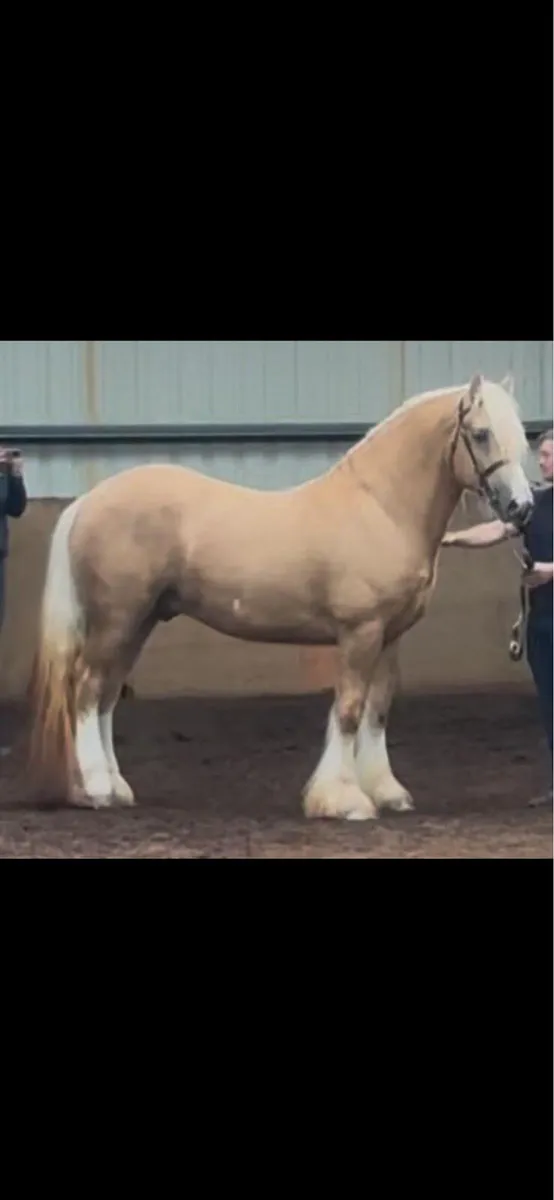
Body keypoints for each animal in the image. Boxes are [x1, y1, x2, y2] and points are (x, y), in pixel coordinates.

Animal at [27, 372, 533, 819]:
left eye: (520, 437)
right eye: (481, 434)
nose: (521, 508)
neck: (381, 508)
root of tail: (87, 500)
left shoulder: (390, 637)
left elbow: (377, 712)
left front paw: (387, 792)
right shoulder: (360, 633)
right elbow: (348, 710)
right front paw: (343, 800)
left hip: (140, 621)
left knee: (107, 694)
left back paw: (116, 788)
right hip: (117, 620)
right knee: (88, 688)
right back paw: (96, 789)